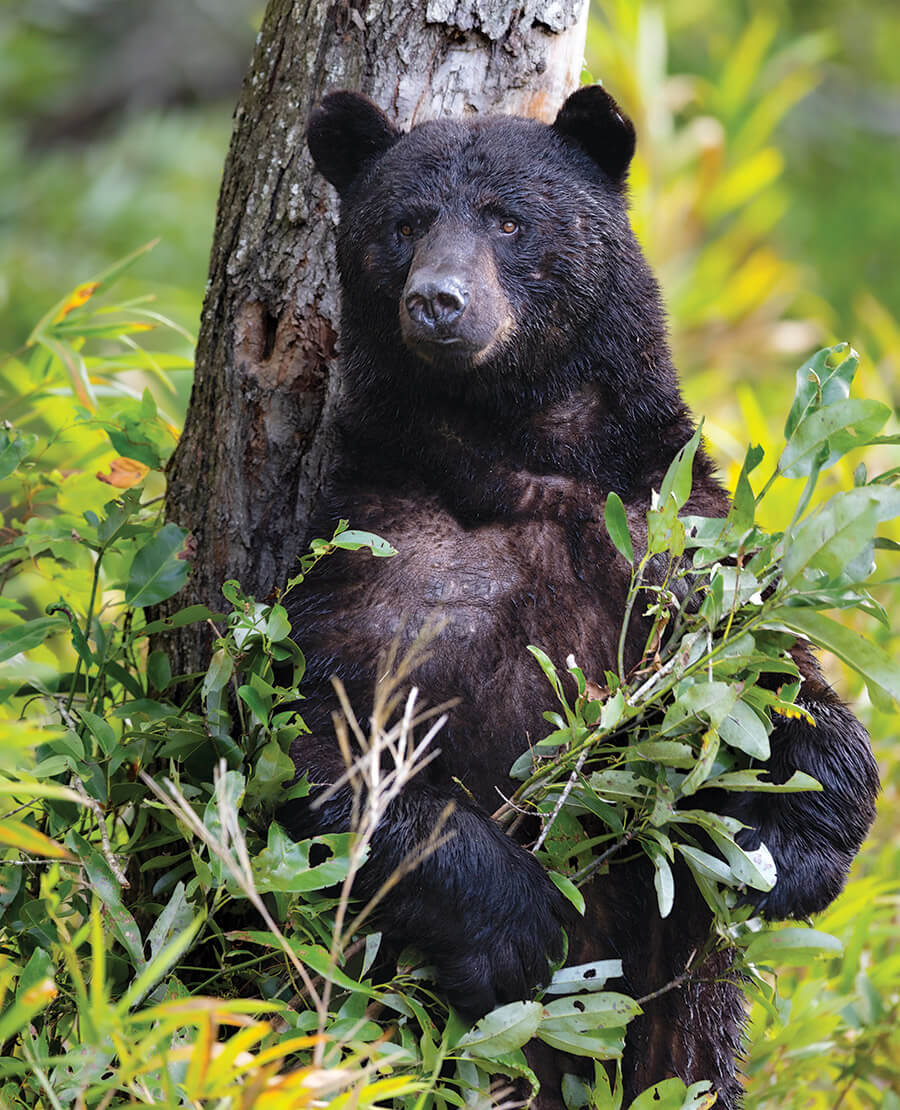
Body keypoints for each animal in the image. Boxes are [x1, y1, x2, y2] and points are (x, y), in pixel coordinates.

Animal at [279, 86, 880, 1106]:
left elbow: (789, 693)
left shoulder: (675, 542)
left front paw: (777, 847)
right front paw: (517, 922)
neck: (522, 458)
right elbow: (326, 744)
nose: (438, 301)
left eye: (508, 219)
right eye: (404, 224)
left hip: (687, 1028)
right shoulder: (379, 559)